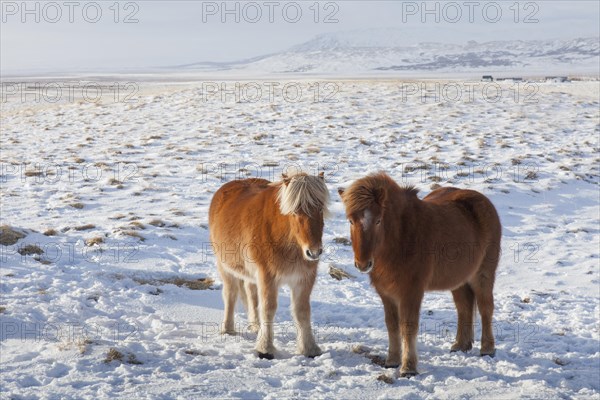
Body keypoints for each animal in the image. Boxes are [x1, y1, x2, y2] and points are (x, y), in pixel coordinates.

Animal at [209, 172, 330, 360]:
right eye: (295, 211)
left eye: (320, 209)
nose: (314, 252)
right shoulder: (267, 276)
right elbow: (268, 308)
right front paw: (265, 349)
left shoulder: (304, 278)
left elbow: (302, 311)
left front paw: (309, 349)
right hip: (226, 268)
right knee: (230, 294)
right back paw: (228, 329)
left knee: (251, 294)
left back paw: (255, 325)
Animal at [338, 173, 502, 378]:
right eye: (351, 221)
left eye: (378, 221)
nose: (363, 264)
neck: (401, 236)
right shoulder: (386, 293)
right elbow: (392, 325)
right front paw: (392, 361)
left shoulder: (411, 291)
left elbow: (408, 326)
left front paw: (408, 367)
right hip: (458, 280)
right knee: (463, 307)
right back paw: (461, 345)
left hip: (483, 275)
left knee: (485, 307)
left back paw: (487, 349)